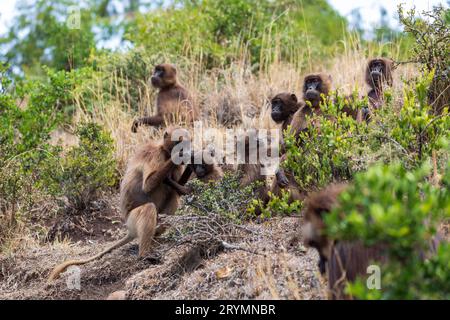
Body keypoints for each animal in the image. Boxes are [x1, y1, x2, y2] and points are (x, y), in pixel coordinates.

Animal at [48, 126, 189, 282]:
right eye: (178, 141)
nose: (186, 148)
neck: (164, 151)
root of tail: (130, 229)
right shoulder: (154, 155)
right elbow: (148, 185)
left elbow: (178, 189)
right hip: (132, 220)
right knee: (149, 208)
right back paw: (145, 254)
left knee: (173, 196)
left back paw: (157, 234)